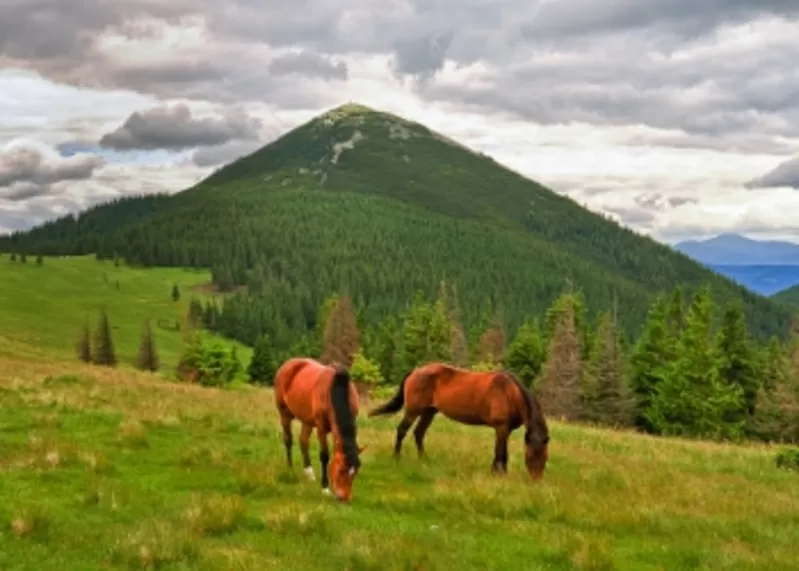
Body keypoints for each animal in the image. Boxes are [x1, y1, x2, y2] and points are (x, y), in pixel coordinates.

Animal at [274, 360, 364, 502]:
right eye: (341, 469)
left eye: (355, 472)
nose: (343, 498)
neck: (334, 390)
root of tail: (289, 363)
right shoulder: (321, 427)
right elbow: (324, 455)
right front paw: (325, 488)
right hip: (284, 414)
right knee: (288, 440)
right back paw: (290, 468)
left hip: (307, 420)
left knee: (303, 440)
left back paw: (309, 473)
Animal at [368, 364, 552, 480]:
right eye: (529, 456)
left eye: (544, 456)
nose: (536, 480)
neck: (510, 393)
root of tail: (416, 371)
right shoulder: (501, 427)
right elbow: (501, 453)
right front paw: (499, 475)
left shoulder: (505, 430)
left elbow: (499, 452)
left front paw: (496, 473)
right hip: (414, 410)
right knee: (402, 430)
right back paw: (396, 457)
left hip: (429, 411)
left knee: (418, 433)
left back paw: (424, 459)